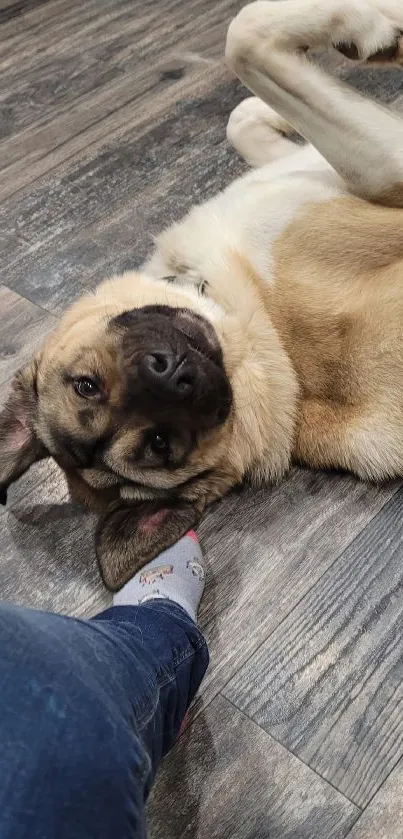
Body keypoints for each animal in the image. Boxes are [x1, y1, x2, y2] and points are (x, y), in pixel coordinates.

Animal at [2, 0, 403, 592]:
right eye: (159, 446)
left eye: (85, 385)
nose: (170, 374)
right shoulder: (385, 166)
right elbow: (246, 36)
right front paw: (374, 31)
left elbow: (243, 115)